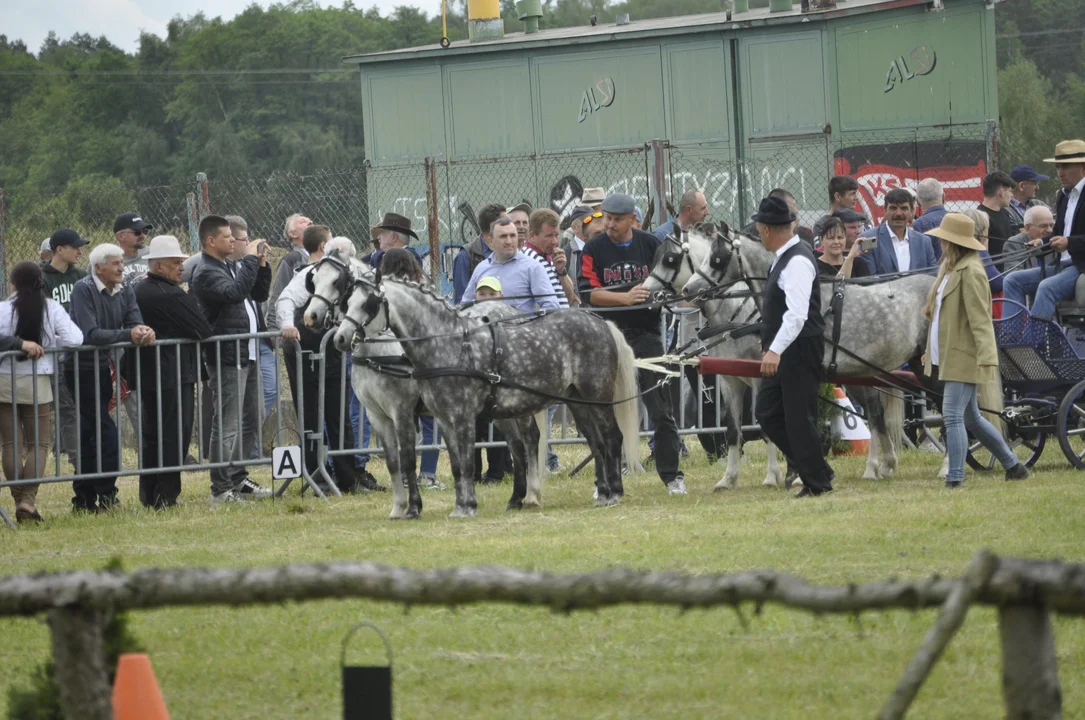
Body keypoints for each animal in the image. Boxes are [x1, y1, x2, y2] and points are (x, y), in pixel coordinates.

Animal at [334, 276, 637, 518]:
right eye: (347, 302)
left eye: (369, 304)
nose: (340, 338)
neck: (448, 344)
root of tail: (599, 322)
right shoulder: (437, 418)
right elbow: (454, 464)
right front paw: (457, 505)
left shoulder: (447, 415)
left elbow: (459, 461)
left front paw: (459, 506)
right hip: (576, 402)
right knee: (594, 443)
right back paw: (595, 493)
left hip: (596, 396)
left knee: (610, 437)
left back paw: (612, 493)